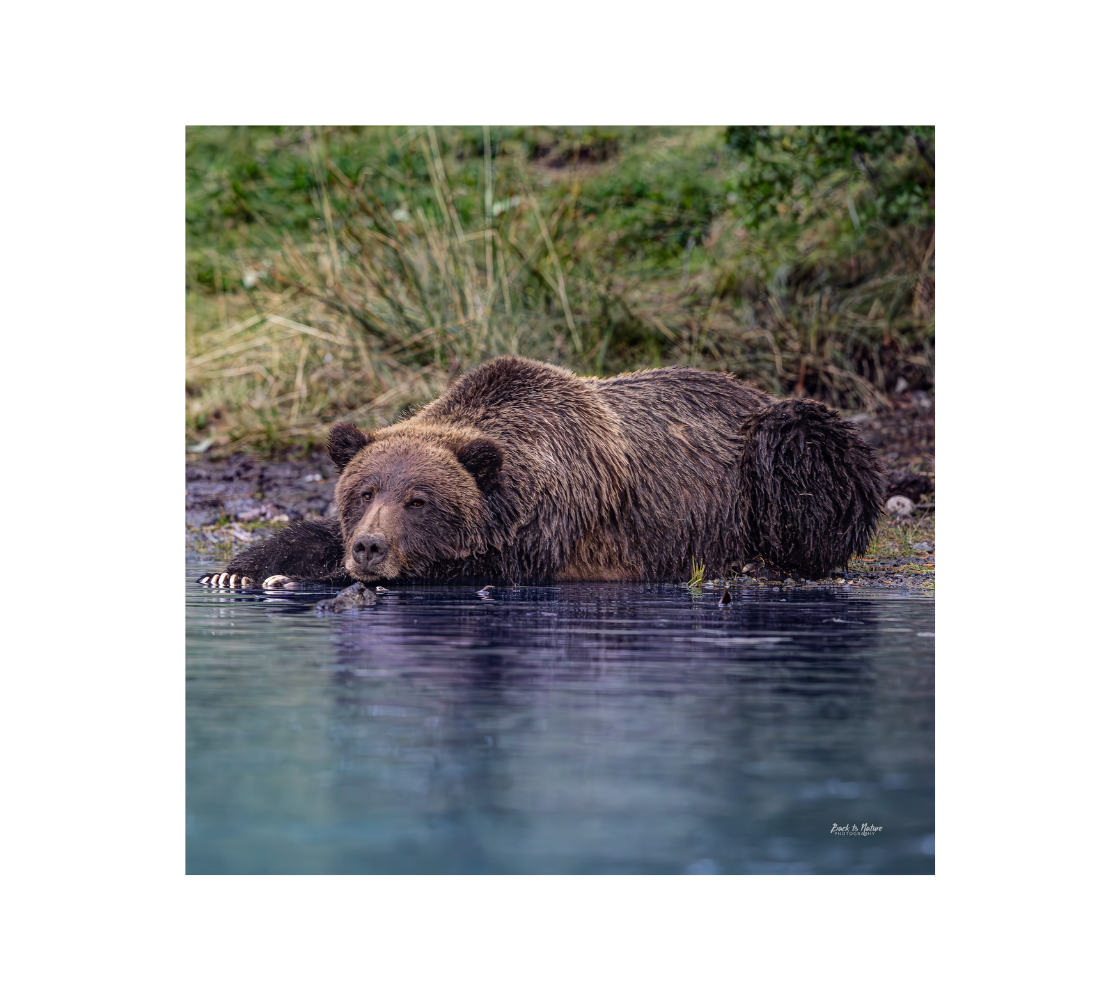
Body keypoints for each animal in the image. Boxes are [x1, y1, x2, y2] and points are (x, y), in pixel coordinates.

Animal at [198, 357, 885, 588]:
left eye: (420, 500)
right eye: (363, 491)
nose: (370, 547)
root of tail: (749, 389)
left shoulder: (554, 531)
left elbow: (473, 570)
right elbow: (309, 535)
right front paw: (237, 571)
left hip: (772, 453)